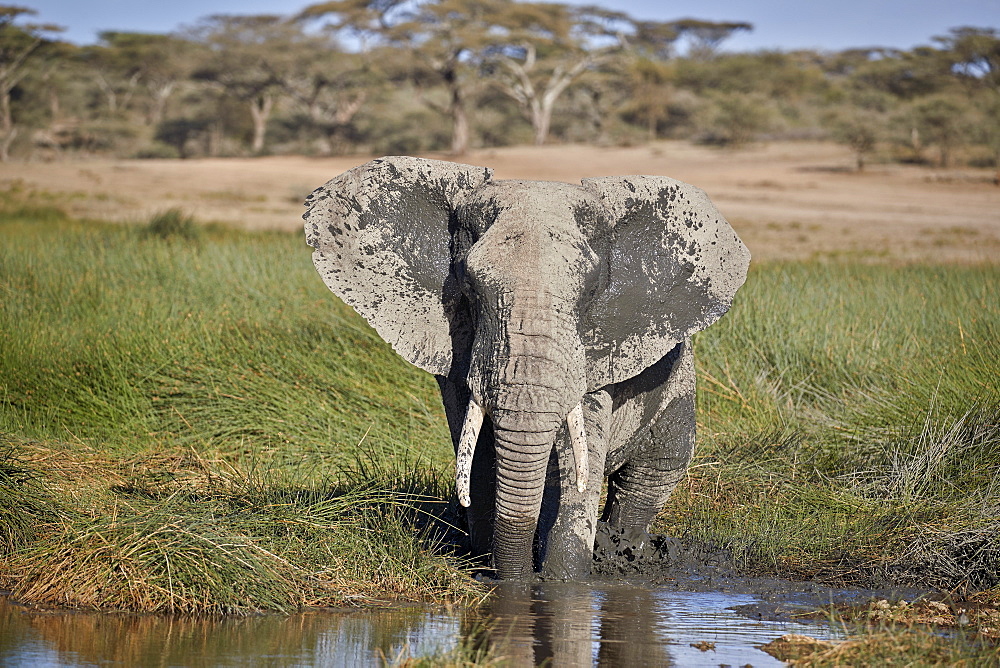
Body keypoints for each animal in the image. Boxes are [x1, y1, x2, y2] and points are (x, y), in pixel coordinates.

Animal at [304, 155, 752, 580]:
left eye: (590, 290)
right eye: (470, 286)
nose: (519, 578)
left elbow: (576, 462)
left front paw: (563, 582)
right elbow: (480, 452)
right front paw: (496, 575)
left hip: (678, 386)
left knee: (652, 474)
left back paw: (622, 553)